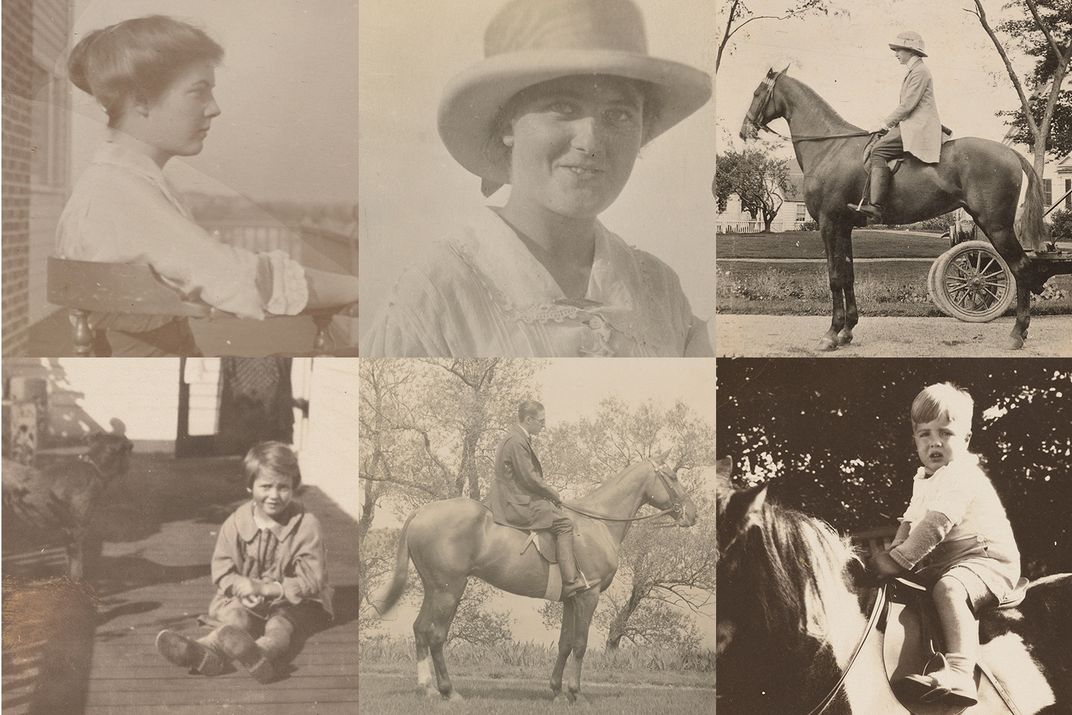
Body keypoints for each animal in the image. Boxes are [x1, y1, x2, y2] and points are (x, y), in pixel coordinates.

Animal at [2, 433, 134, 578]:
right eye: (128, 449)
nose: (128, 465)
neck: (94, 467)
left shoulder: (67, 532)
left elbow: (69, 562)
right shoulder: (76, 530)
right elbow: (77, 565)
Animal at [373, 458, 698, 703]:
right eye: (672, 477)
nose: (693, 514)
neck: (598, 523)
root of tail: (422, 512)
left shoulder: (571, 600)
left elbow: (565, 644)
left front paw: (556, 691)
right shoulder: (589, 596)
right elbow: (580, 644)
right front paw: (575, 693)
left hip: (433, 589)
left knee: (420, 630)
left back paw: (426, 689)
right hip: (449, 590)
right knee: (436, 634)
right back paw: (448, 691)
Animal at [741, 66, 1050, 351]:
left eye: (756, 93)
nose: (745, 130)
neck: (831, 148)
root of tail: (1008, 152)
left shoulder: (829, 224)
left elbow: (834, 277)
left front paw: (831, 334)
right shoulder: (844, 227)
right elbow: (847, 275)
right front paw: (847, 331)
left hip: (997, 226)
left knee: (1021, 268)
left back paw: (1017, 333)